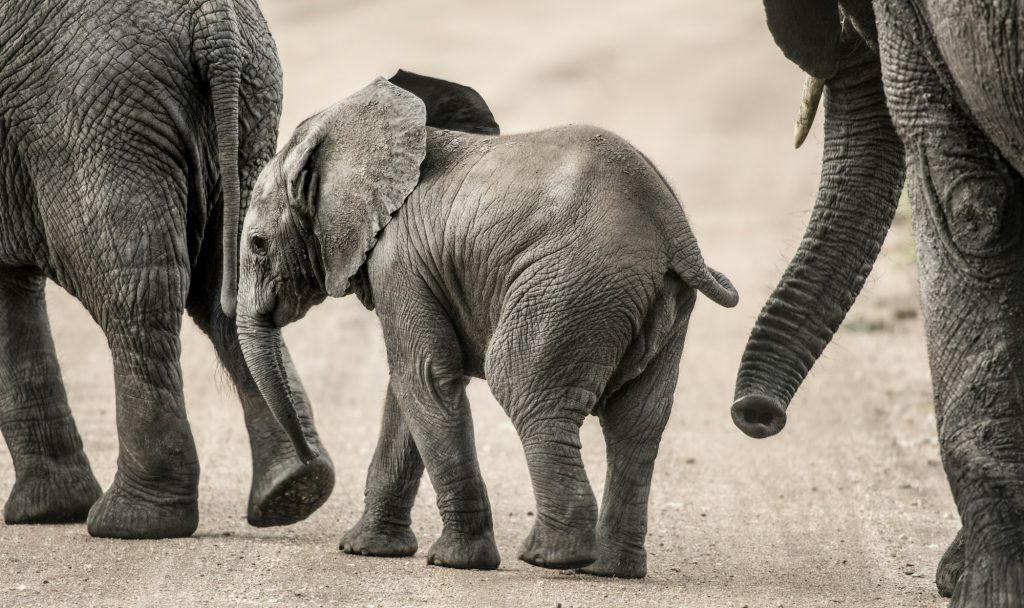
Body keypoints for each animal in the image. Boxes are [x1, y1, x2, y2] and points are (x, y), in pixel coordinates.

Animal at [0, 0, 334, 539]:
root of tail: (215, 22)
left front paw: (49, 513)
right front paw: (47, 513)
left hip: (95, 117)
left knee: (135, 291)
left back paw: (131, 522)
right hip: (246, 111)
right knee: (227, 283)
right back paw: (295, 488)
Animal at [235, 73, 739, 577]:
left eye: (258, 244)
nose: (307, 468)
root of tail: (673, 229)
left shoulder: (399, 261)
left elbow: (424, 377)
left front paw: (455, 562)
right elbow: (409, 390)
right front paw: (365, 549)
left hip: (572, 283)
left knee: (523, 384)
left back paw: (550, 557)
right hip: (659, 304)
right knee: (638, 421)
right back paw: (612, 569)